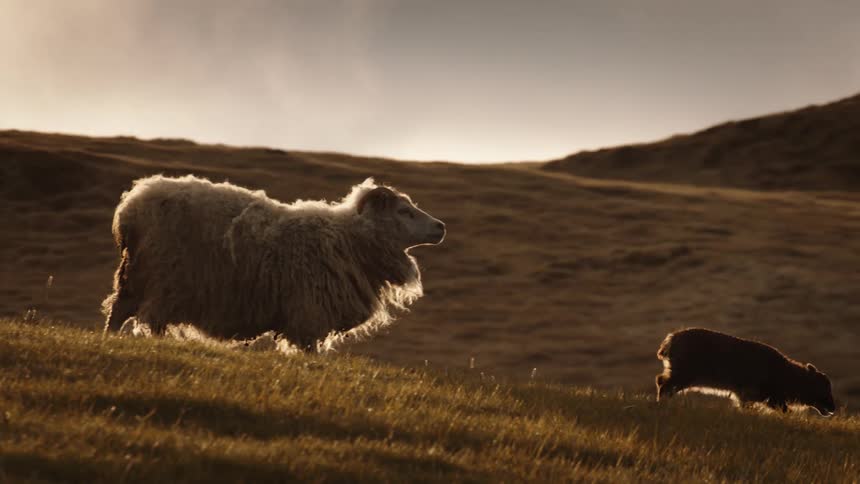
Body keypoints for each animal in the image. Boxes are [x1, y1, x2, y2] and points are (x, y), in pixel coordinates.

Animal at [101, 175, 446, 351]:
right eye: (404, 211)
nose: (441, 227)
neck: (350, 240)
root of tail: (131, 206)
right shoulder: (309, 312)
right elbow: (310, 351)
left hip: (135, 276)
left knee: (118, 310)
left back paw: (109, 340)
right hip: (165, 278)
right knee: (148, 317)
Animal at [655, 328, 836, 415]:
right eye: (822, 387)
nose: (833, 408)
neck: (787, 374)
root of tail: (671, 338)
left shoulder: (747, 397)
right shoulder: (766, 397)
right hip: (682, 375)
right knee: (663, 384)